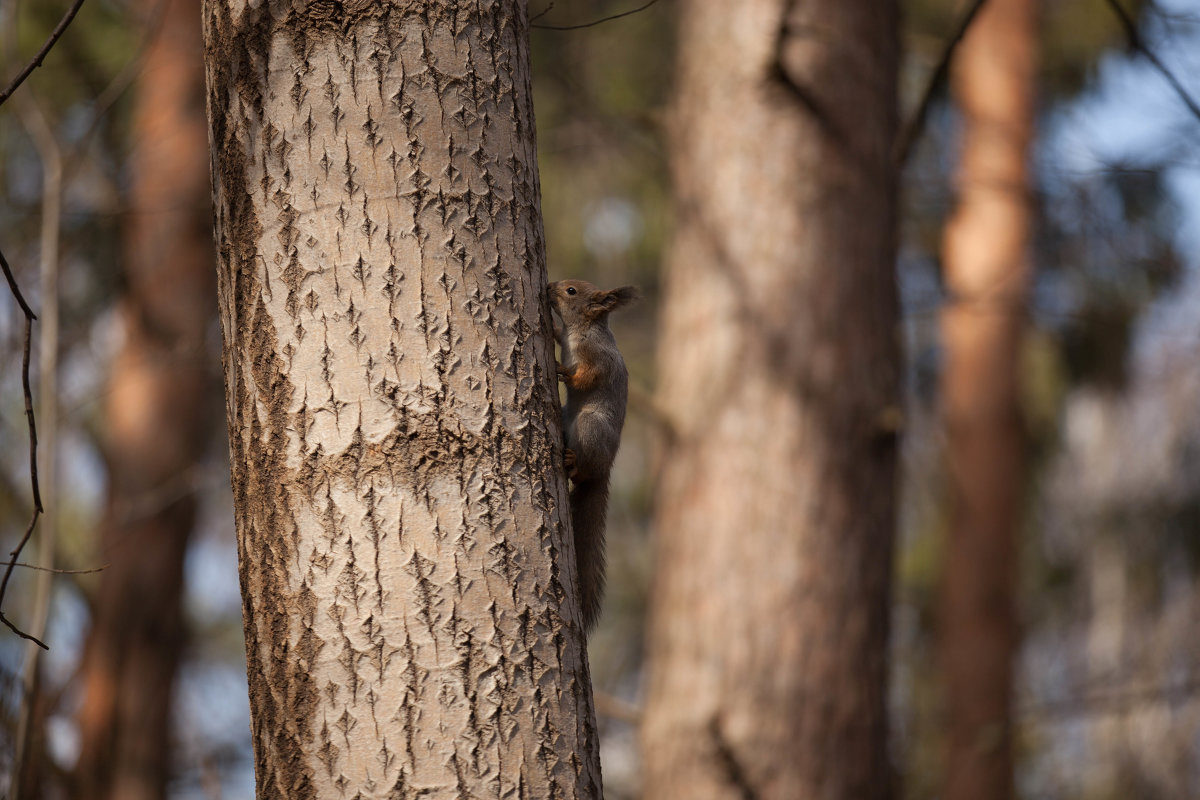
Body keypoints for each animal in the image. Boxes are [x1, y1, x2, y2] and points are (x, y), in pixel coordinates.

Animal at [547, 278, 638, 633]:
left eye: (571, 291)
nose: (549, 285)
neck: (584, 329)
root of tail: (606, 469)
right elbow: (560, 336)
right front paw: (551, 326)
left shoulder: (599, 360)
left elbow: (585, 377)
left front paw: (562, 369)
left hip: (590, 427)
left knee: (583, 471)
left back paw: (573, 463)